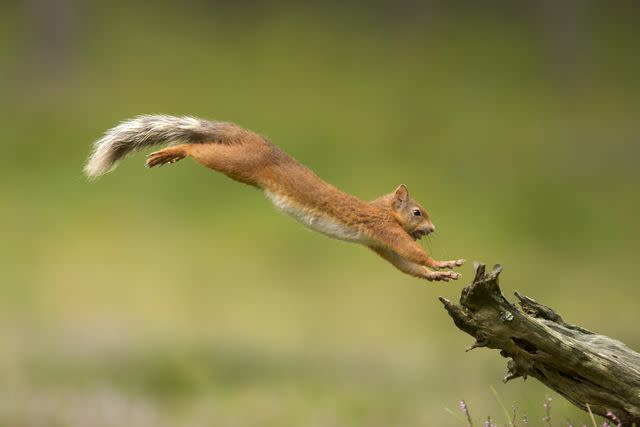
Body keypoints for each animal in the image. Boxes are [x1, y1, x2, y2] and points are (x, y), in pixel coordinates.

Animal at [85, 115, 464, 282]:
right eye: (417, 212)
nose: (433, 229)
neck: (381, 209)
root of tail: (257, 140)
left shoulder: (378, 244)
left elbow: (405, 264)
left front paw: (436, 275)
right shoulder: (385, 230)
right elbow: (413, 253)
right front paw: (443, 263)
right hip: (238, 162)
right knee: (198, 149)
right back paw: (174, 152)